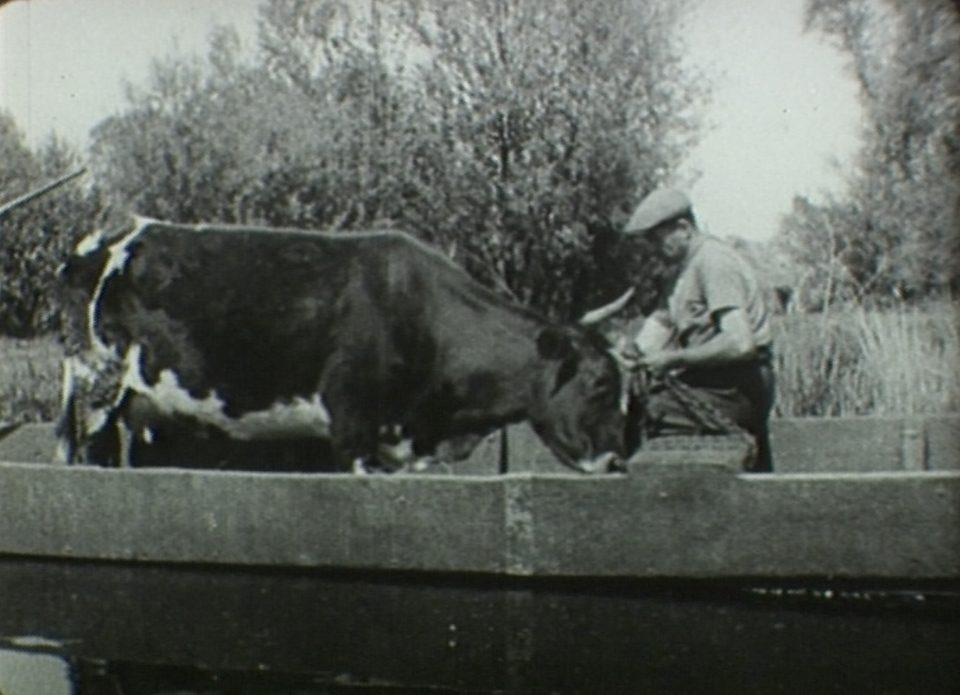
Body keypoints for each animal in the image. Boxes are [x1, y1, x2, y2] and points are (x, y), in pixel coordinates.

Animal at [58, 220, 632, 476]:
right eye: (601, 383)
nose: (617, 460)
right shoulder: (353, 428)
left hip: (141, 403)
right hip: (97, 376)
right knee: (83, 444)